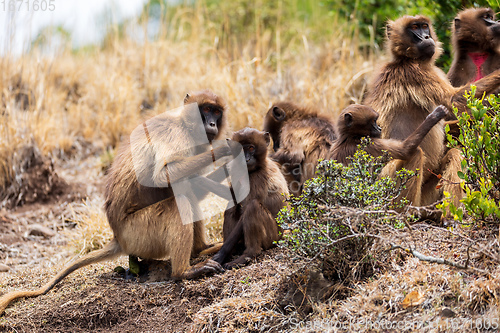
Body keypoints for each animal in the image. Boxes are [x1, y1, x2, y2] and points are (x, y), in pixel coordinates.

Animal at [0, 89, 238, 316]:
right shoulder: (176, 137)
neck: (185, 124)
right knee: (176, 202)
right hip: (139, 234)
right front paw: (228, 149)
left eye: (217, 112)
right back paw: (184, 271)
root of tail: (118, 238)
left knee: (184, 193)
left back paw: (201, 250)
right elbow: (164, 175)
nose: (212, 124)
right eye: (206, 109)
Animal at [211, 126, 290, 268]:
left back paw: (248, 255)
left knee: (253, 207)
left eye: (251, 148)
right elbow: (234, 196)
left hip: (272, 237)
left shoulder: (258, 178)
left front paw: (221, 255)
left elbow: (247, 208)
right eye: (241, 149)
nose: (246, 159)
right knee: (232, 206)